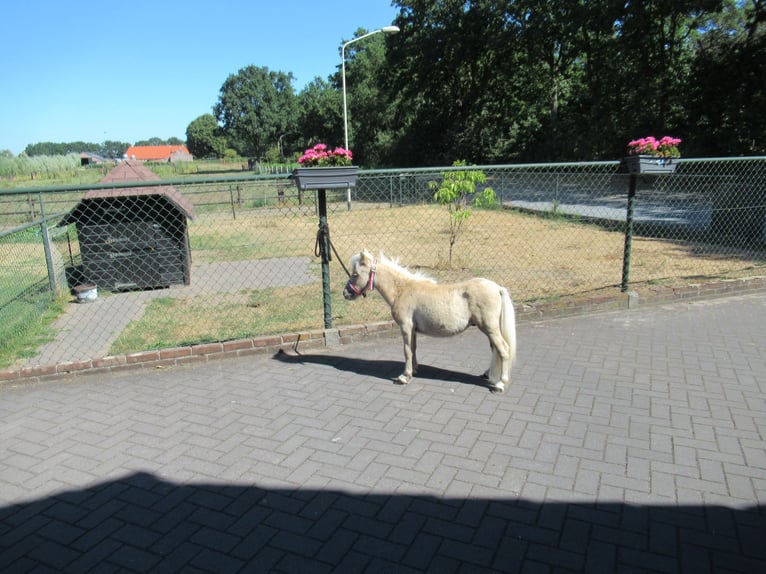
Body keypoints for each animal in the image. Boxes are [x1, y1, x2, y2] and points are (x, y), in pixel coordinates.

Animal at [343, 250, 516, 393]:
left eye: (355, 274)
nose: (346, 293)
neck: (402, 290)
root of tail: (497, 288)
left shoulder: (406, 327)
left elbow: (407, 350)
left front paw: (404, 377)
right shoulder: (413, 330)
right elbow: (413, 349)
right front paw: (414, 370)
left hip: (490, 329)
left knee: (503, 350)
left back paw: (500, 384)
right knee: (495, 350)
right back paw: (488, 374)